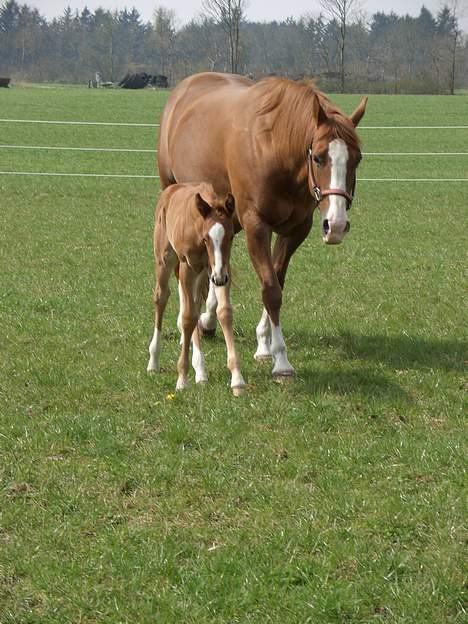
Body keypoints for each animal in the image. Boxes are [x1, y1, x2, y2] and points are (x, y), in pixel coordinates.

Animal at [148, 183, 247, 394]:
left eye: (230, 237)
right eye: (206, 238)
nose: (219, 278)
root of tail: (169, 190)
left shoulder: (219, 268)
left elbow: (223, 312)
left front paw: (237, 379)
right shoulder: (188, 267)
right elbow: (187, 318)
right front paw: (182, 379)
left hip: (203, 274)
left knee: (194, 304)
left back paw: (200, 371)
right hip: (165, 259)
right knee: (162, 297)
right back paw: (153, 361)